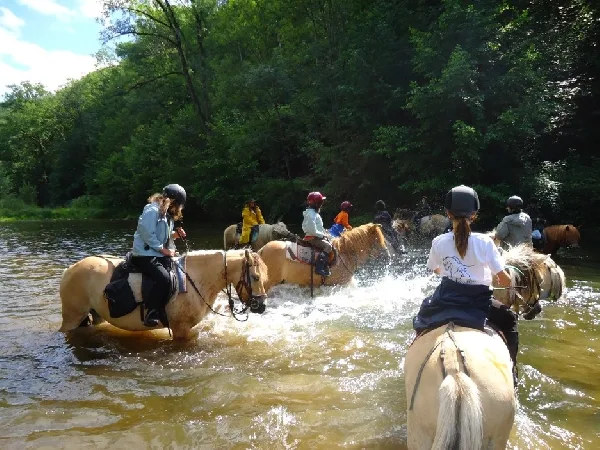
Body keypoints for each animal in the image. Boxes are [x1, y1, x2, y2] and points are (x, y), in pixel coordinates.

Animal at [59, 248, 270, 340]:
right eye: (256, 277)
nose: (261, 306)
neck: (195, 278)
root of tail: (70, 269)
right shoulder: (180, 329)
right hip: (72, 318)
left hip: (94, 315)